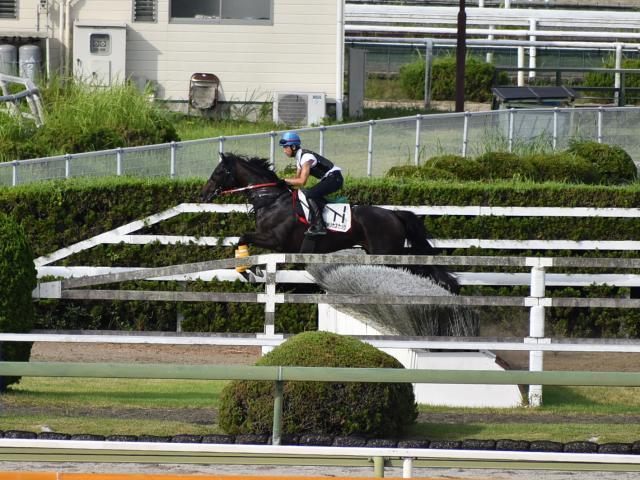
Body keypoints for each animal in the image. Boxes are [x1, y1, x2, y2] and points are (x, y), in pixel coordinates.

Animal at [202, 153, 458, 292]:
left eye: (218, 172)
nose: (204, 195)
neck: (271, 199)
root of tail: (393, 214)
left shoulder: (275, 240)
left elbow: (242, 237)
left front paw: (250, 269)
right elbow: (241, 240)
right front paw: (249, 267)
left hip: (386, 252)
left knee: (416, 268)